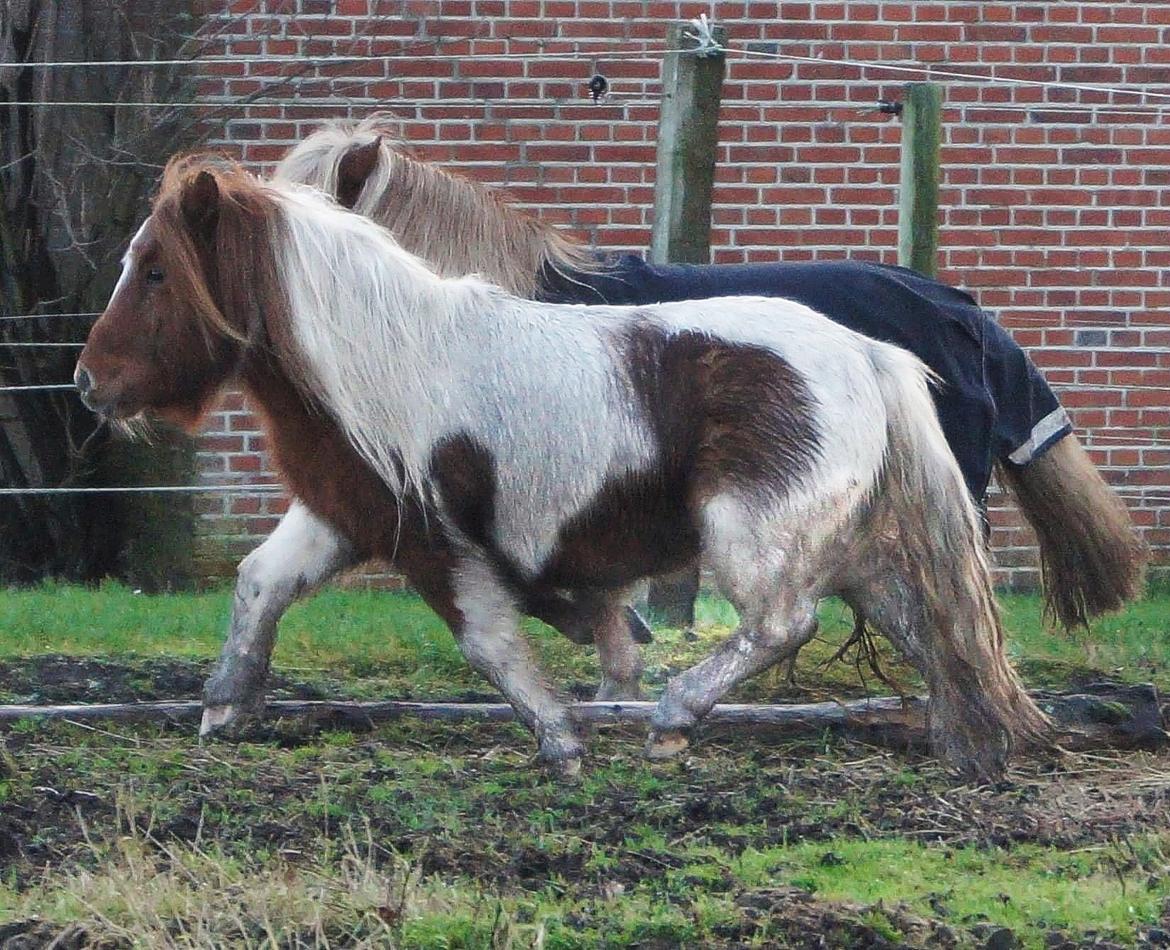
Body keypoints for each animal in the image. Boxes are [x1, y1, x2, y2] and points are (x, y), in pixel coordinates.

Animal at [80, 155, 1053, 781]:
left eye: (157, 271)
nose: (92, 383)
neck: (385, 360)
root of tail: (868, 355)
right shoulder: (342, 514)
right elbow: (258, 583)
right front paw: (223, 712)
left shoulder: (434, 542)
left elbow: (489, 642)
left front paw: (562, 740)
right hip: (860, 551)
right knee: (929, 629)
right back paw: (970, 746)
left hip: (756, 540)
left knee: (784, 625)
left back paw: (673, 723)